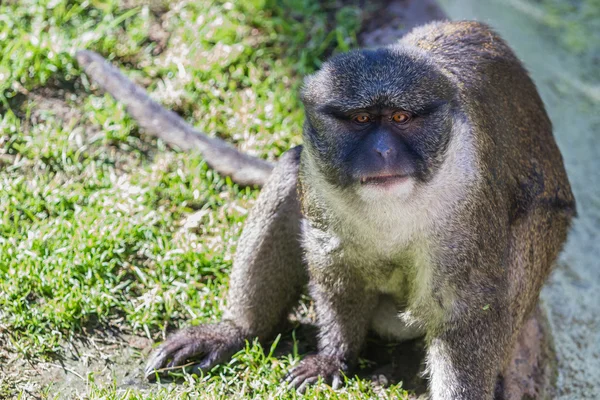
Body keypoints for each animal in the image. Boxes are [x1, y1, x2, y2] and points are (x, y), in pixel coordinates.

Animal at [77, 21, 576, 400]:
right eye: (360, 120)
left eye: (401, 119)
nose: (382, 151)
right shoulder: (319, 184)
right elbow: (337, 272)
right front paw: (333, 356)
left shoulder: (470, 211)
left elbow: (469, 308)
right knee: (289, 168)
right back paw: (238, 329)